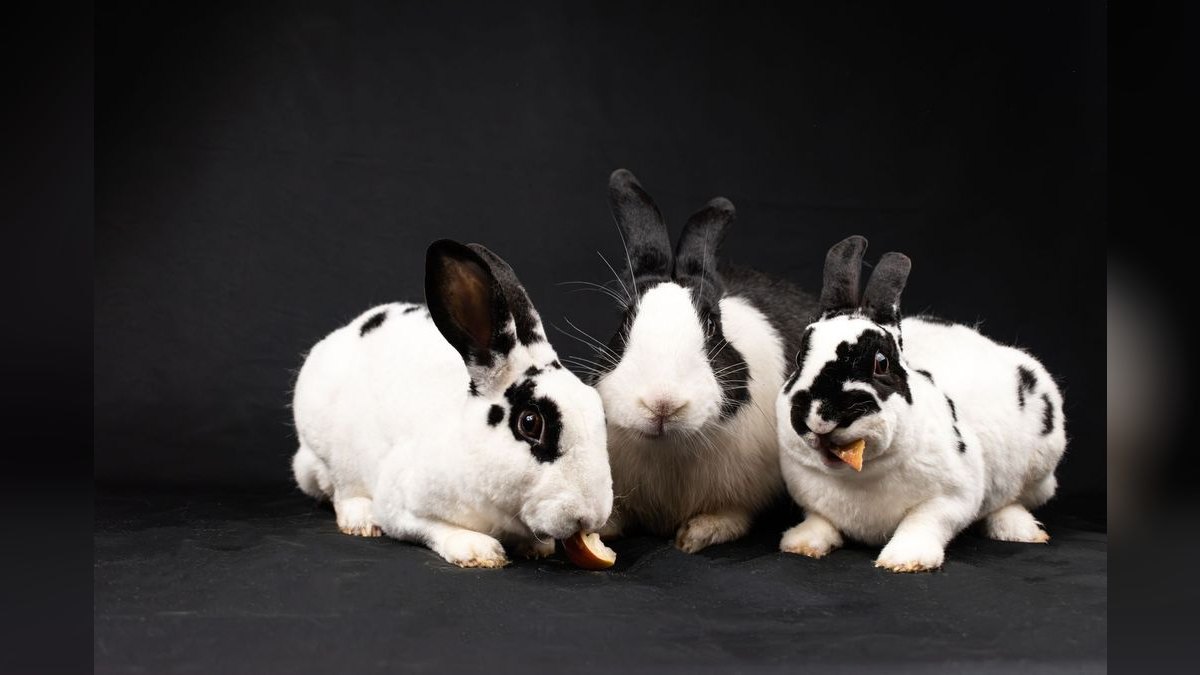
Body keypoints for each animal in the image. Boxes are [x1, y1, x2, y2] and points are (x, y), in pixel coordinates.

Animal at [291, 239, 613, 568]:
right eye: (530, 423)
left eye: (600, 412)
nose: (590, 517)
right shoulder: (400, 505)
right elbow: (434, 527)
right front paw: (478, 551)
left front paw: (537, 548)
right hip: (330, 454)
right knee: (342, 489)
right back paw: (362, 520)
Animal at [586, 169, 820, 552]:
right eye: (624, 321)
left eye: (712, 325)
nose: (662, 404)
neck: (669, 449)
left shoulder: (743, 494)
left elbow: (732, 516)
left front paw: (698, 534)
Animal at [775, 235, 1067, 572]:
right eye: (800, 358)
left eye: (881, 363)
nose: (819, 417)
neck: (858, 475)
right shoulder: (811, 499)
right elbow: (820, 521)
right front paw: (800, 544)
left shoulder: (952, 497)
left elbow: (924, 522)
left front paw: (905, 560)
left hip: (1041, 463)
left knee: (1011, 500)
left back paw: (1021, 530)